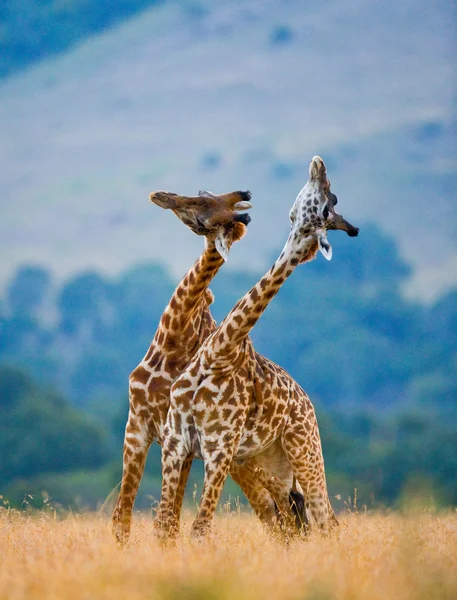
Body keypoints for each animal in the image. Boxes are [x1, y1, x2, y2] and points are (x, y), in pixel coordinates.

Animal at [110, 190, 296, 548]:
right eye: (203, 195)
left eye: (202, 207)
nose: (161, 196)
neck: (171, 341)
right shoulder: (138, 423)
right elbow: (122, 515)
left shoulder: (175, 434)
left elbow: (170, 520)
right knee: (277, 510)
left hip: (241, 459)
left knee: (276, 511)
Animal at [155, 156, 358, 540]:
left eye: (328, 206)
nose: (319, 165)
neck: (220, 352)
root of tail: (307, 402)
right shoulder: (175, 443)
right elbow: (164, 527)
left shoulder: (219, 449)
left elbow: (199, 529)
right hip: (269, 465)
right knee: (294, 521)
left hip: (304, 450)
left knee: (324, 519)